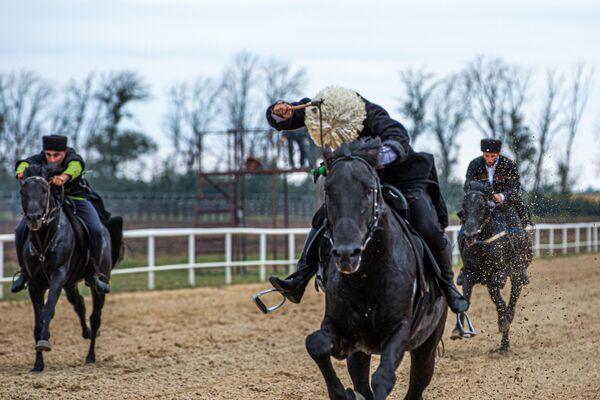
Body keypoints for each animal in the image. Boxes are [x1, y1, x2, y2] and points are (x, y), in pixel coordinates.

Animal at [19, 166, 122, 372]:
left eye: (45, 190)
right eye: (22, 192)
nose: (34, 218)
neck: (44, 242)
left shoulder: (58, 276)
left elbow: (48, 309)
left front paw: (44, 341)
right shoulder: (35, 284)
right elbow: (38, 319)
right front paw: (38, 363)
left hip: (99, 284)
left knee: (95, 317)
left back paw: (91, 355)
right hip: (71, 283)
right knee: (79, 304)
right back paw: (86, 333)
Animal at [308, 138, 448, 400]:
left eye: (368, 189)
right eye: (328, 190)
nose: (347, 253)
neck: (367, 277)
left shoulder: (399, 331)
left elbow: (383, 378)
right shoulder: (344, 333)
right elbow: (316, 344)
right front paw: (342, 393)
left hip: (426, 347)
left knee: (416, 386)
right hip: (361, 353)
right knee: (361, 380)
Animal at [452, 181, 532, 354]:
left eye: (482, 206)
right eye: (464, 206)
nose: (469, 234)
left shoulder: (502, 272)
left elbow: (499, 296)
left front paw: (503, 322)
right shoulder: (469, 273)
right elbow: (466, 298)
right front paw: (458, 329)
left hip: (517, 276)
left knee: (512, 303)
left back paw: (505, 342)